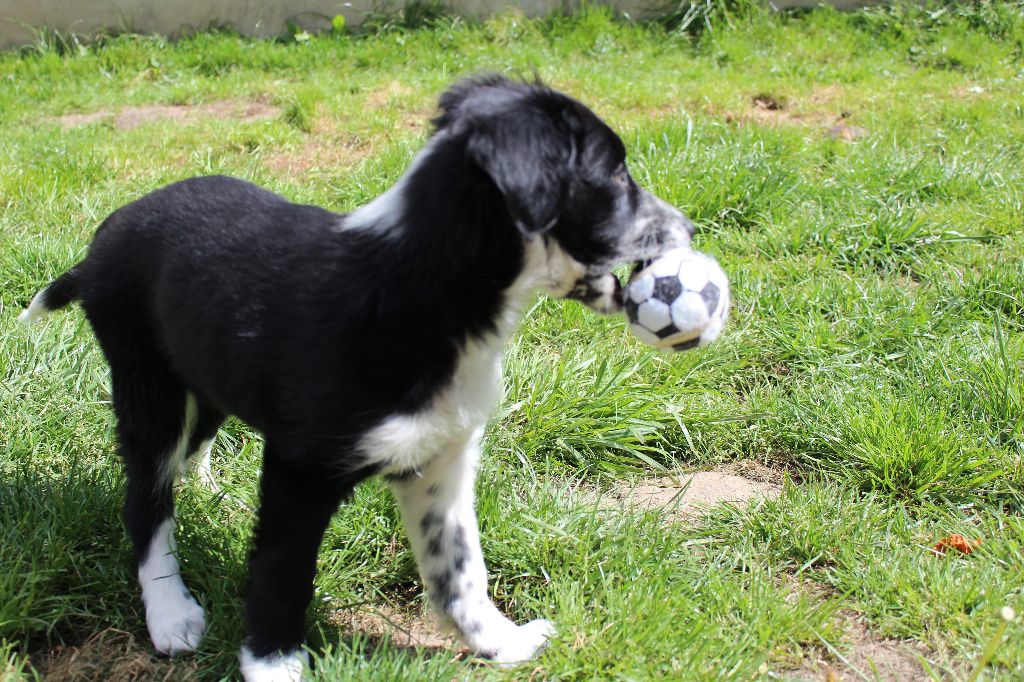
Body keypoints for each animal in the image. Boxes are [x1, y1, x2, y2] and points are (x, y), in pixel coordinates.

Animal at [20, 75, 699, 681]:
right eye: (614, 175)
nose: (691, 229)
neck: (432, 290)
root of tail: (100, 242)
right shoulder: (301, 467)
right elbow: (282, 569)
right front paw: (272, 665)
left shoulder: (441, 455)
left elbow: (459, 565)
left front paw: (499, 643)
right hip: (145, 380)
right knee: (147, 502)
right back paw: (171, 612)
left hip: (202, 365)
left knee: (196, 441)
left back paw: (208, 493)